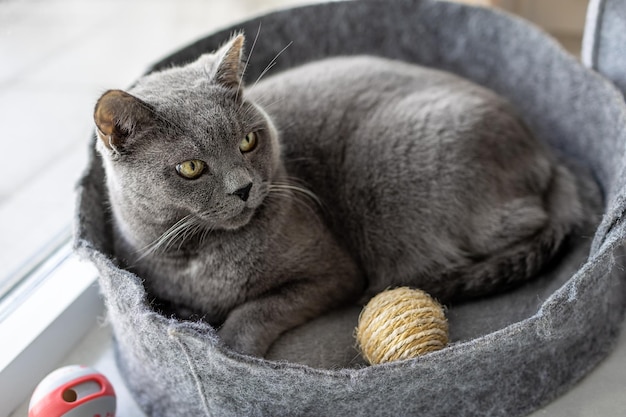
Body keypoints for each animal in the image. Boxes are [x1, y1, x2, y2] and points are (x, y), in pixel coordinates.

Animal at [95, 34, 584, 356]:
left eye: (248, 142)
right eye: (191, 168)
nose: (244, 187)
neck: (200, 256)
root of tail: (541, 148)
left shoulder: (332, 273)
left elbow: (257, 309)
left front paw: (230, 352)